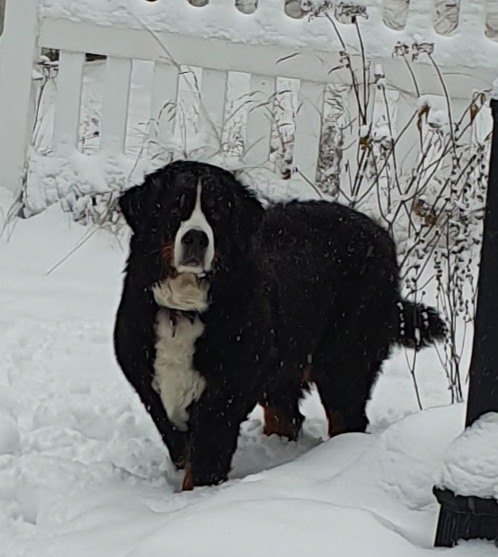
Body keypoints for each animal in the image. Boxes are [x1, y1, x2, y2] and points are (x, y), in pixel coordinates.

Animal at [115, 159, 446, 488]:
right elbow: (182, 451)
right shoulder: (154, 394)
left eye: (217, 212)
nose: (196, 237)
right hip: (283, 370)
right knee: (286, 417)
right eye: (175, 207)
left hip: (344, 362)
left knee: (346, 417)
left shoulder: (221, 399)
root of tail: (380, 233)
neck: (184, 308)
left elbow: (203, 463)